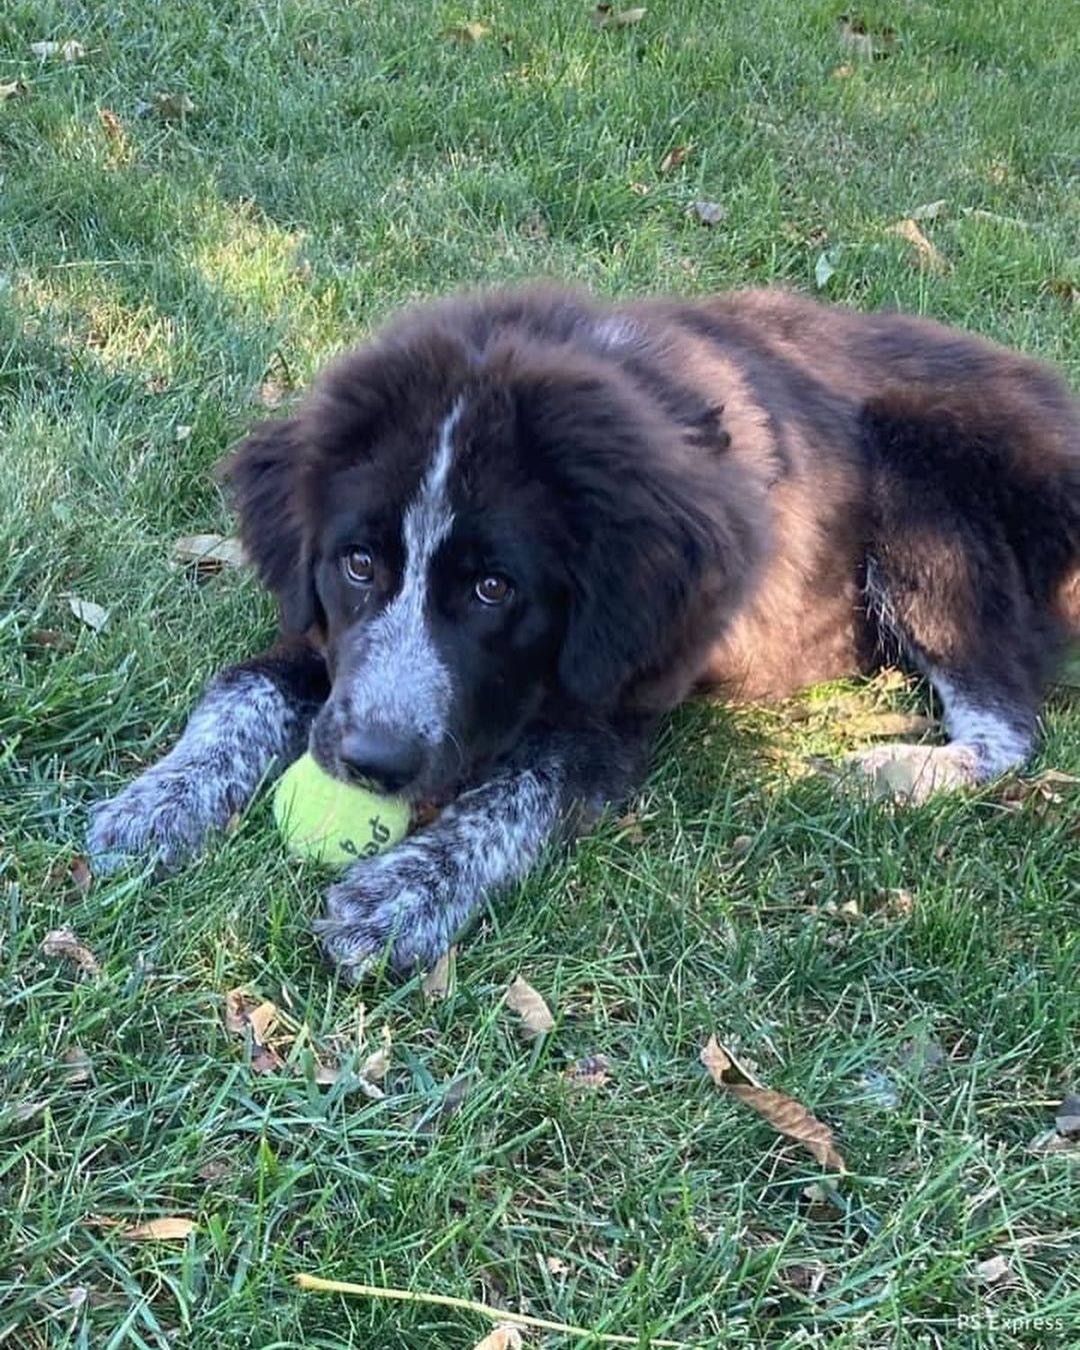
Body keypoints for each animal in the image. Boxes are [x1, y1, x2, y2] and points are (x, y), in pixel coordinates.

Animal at [90, 290, 1080, 977]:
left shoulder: (612, 707)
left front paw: (402, 894)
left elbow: (517, 794)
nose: (371, 765)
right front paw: (156, 803)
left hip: (922, 489)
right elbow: (243, 687)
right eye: (359, 564)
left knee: (1006, 724)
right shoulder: (330, 640)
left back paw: (883, 774)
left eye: (495, 590)